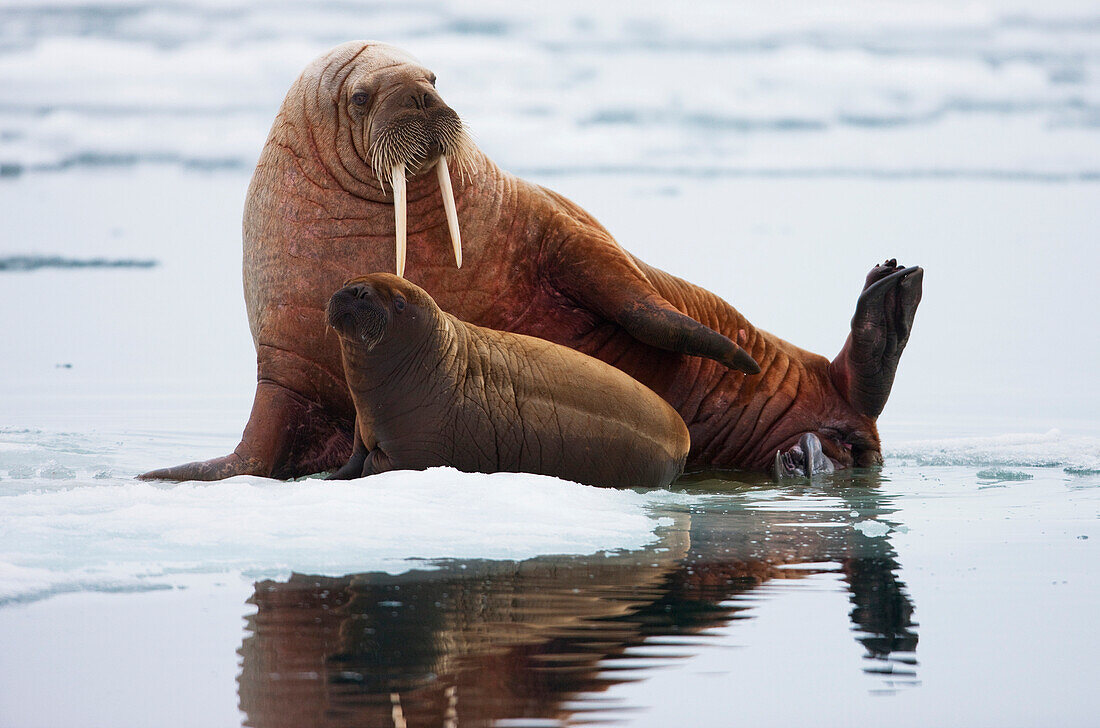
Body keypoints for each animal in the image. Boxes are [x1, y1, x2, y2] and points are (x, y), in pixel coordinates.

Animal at [323, 273, 686, 490]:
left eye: (398, 303)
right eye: (350, 281)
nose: (357, 290)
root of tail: (682, 436)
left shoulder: (414, 450)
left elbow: (373, 465)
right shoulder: (362, 431)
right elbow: (352, 461)